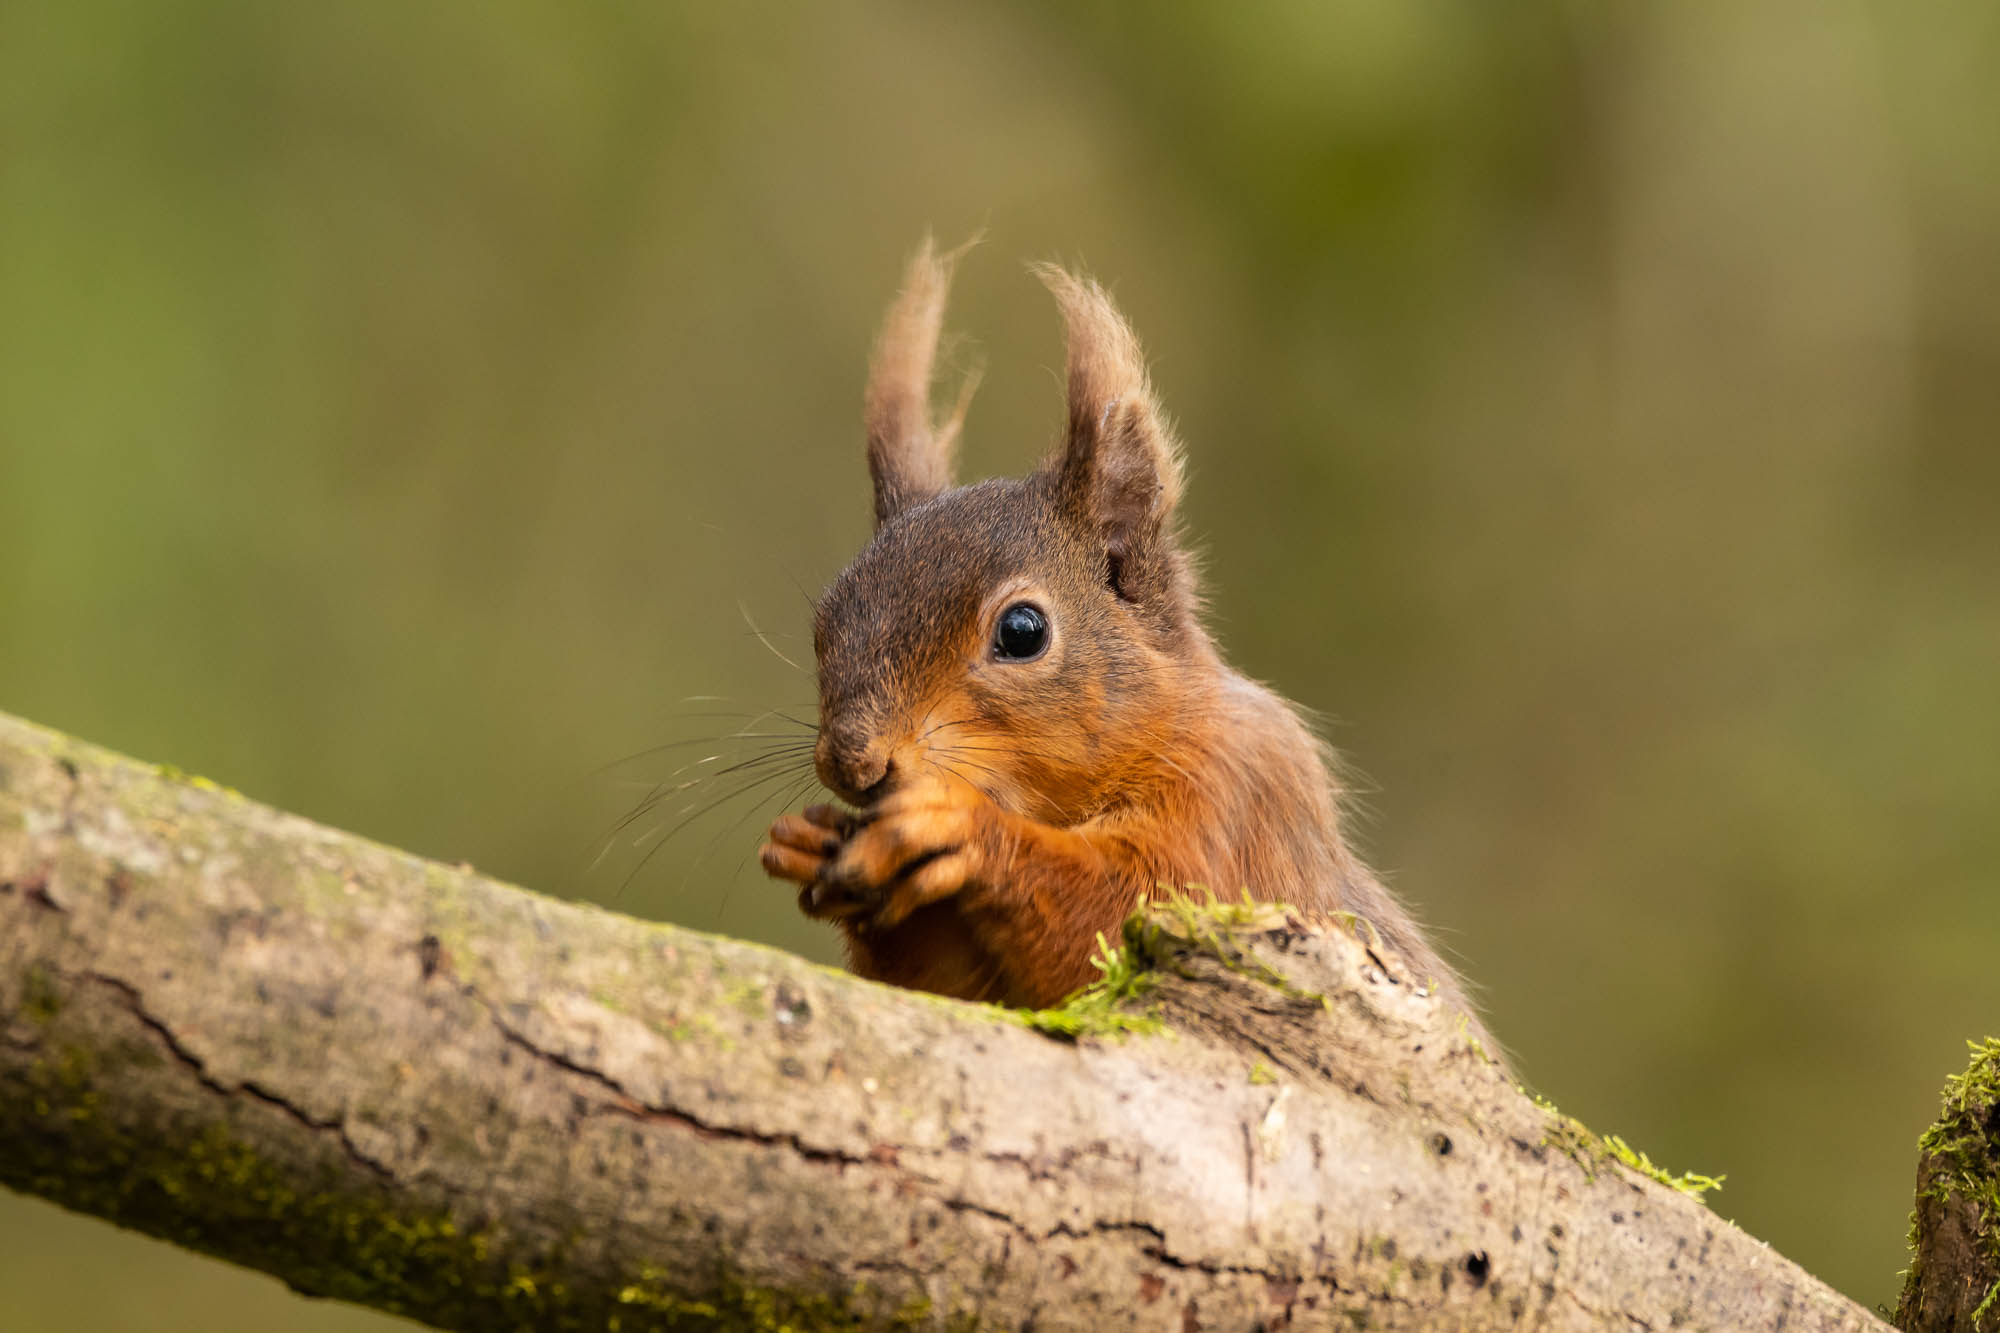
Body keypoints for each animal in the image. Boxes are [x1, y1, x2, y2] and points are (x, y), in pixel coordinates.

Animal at [759, 238, 1490, 1047]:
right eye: (824, 621)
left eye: (1022, 631)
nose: (854, 761)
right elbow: (945, 986)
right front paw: (808, 842)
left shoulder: (1233, 806)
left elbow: (1123, 909)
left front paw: (963, 828)